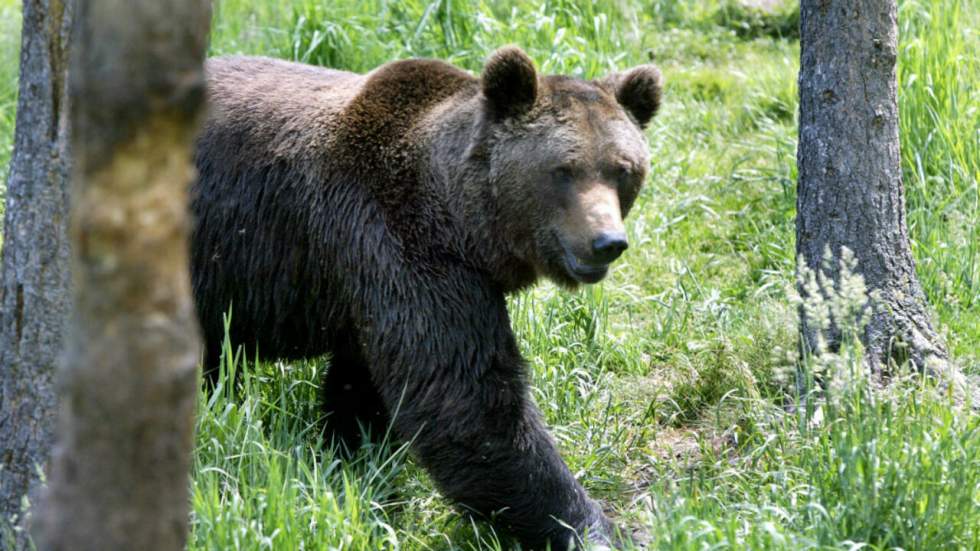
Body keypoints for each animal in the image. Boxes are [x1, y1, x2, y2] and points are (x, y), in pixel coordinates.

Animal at [192, 45, 664, 548]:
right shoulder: (402, 245)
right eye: (563, 170)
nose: (606, 241)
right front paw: (591, 525)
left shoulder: (375, 280)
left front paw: (353, 454)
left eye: (623, 170)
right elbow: (469, 404)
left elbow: (368, 386)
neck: (463, 221)